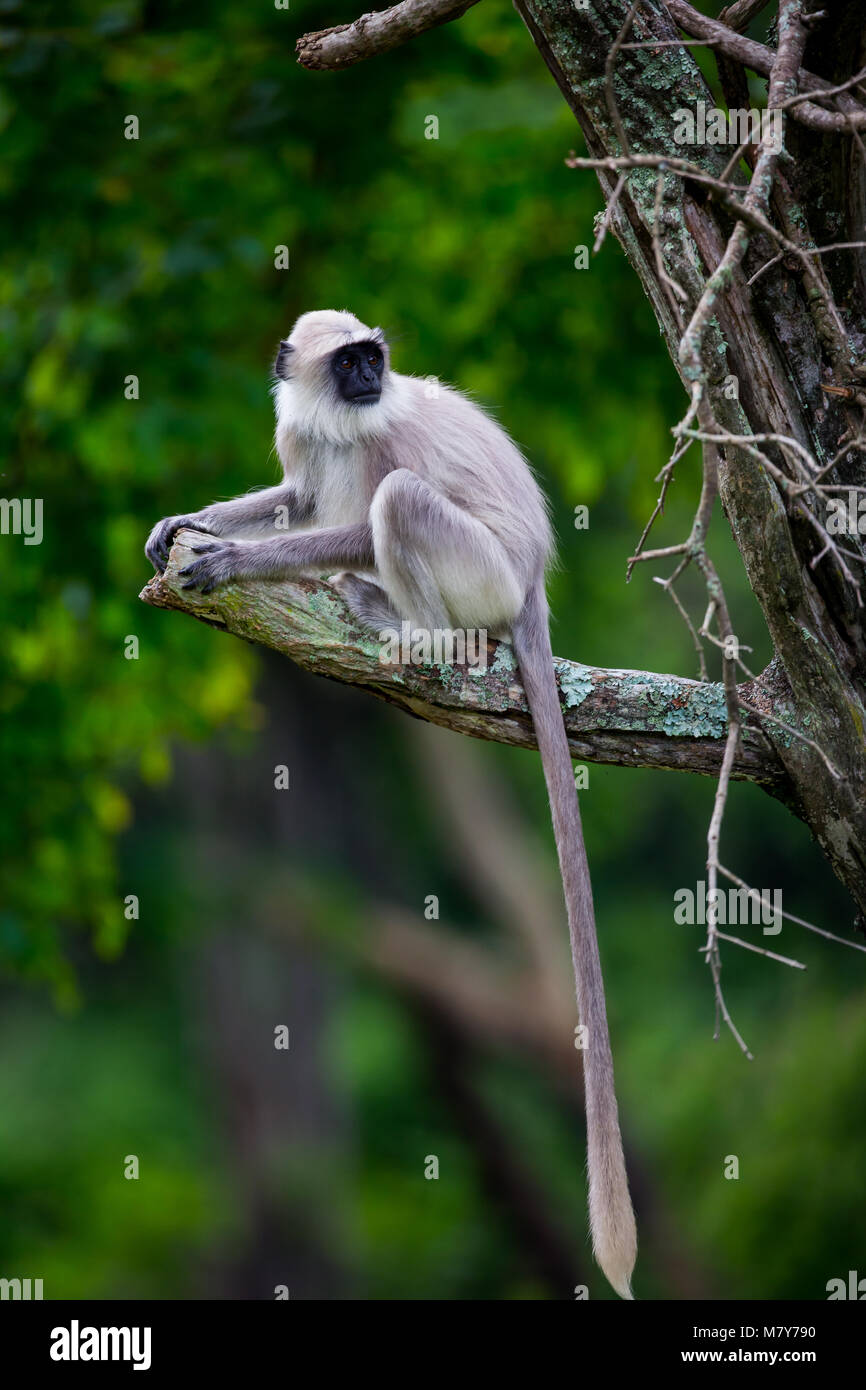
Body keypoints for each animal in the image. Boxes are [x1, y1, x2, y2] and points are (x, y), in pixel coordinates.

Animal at [145, 309, 639, 1295]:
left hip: (485, 575)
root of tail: (533, 584)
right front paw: (185, 522)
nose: (374, 378)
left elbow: (347, 515)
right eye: (351, 363)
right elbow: (298, 498)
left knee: (398, 502)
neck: (343, 420)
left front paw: (232, 559)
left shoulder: (384, 438)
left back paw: (415, 632)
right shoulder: (299, 434)